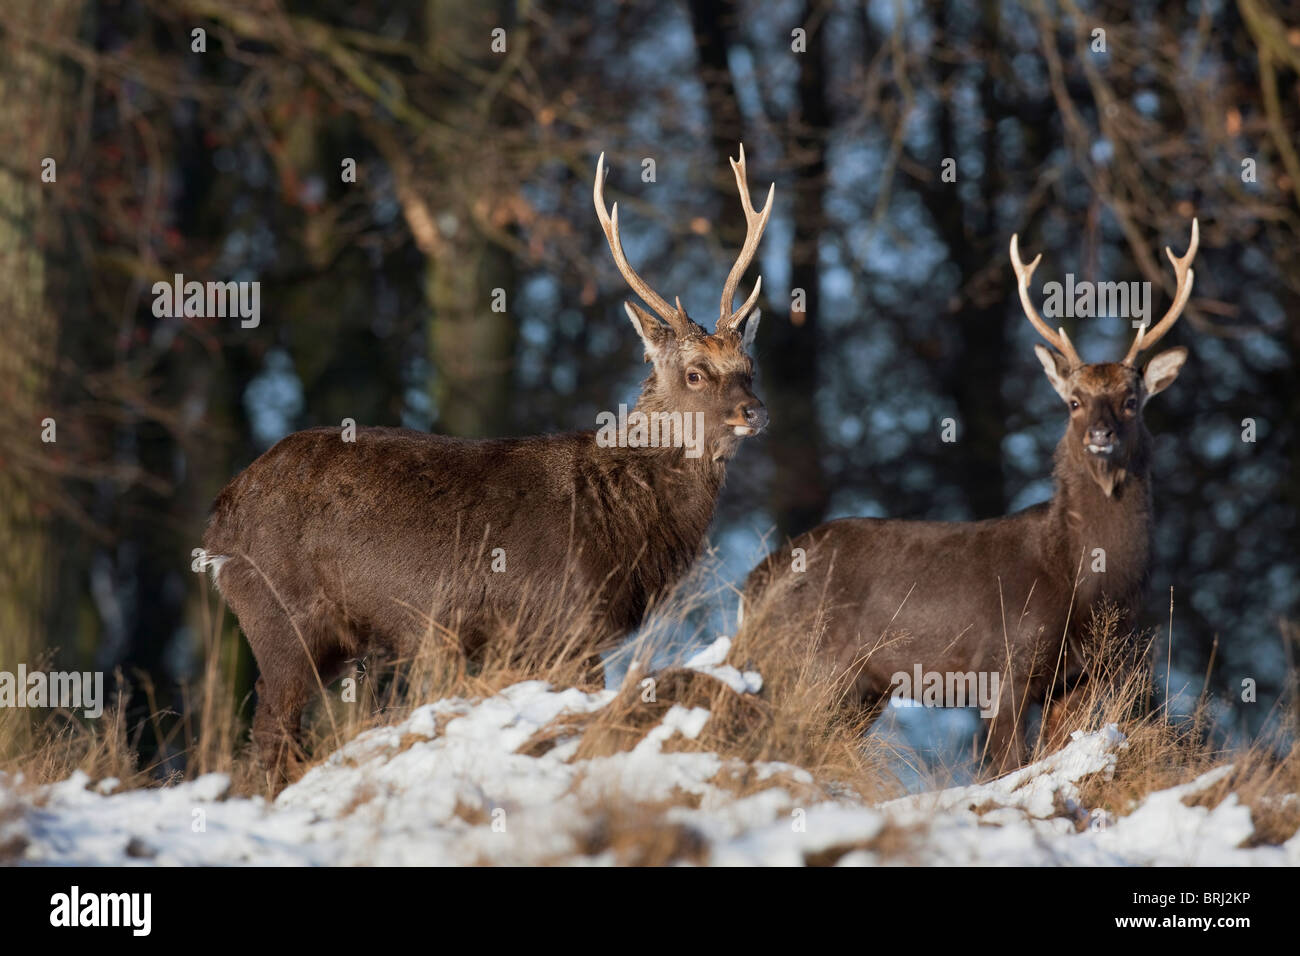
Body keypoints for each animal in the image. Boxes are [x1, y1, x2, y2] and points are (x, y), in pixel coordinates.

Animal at [743, 222, 1196, 770]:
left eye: (1131, 401)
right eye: (1074, 401)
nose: (1100, 435)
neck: (1080, 580)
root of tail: (752, 585)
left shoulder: (1081, 677)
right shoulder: (1002, 662)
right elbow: (1004, 766)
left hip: (860, 689)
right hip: (809, 664)